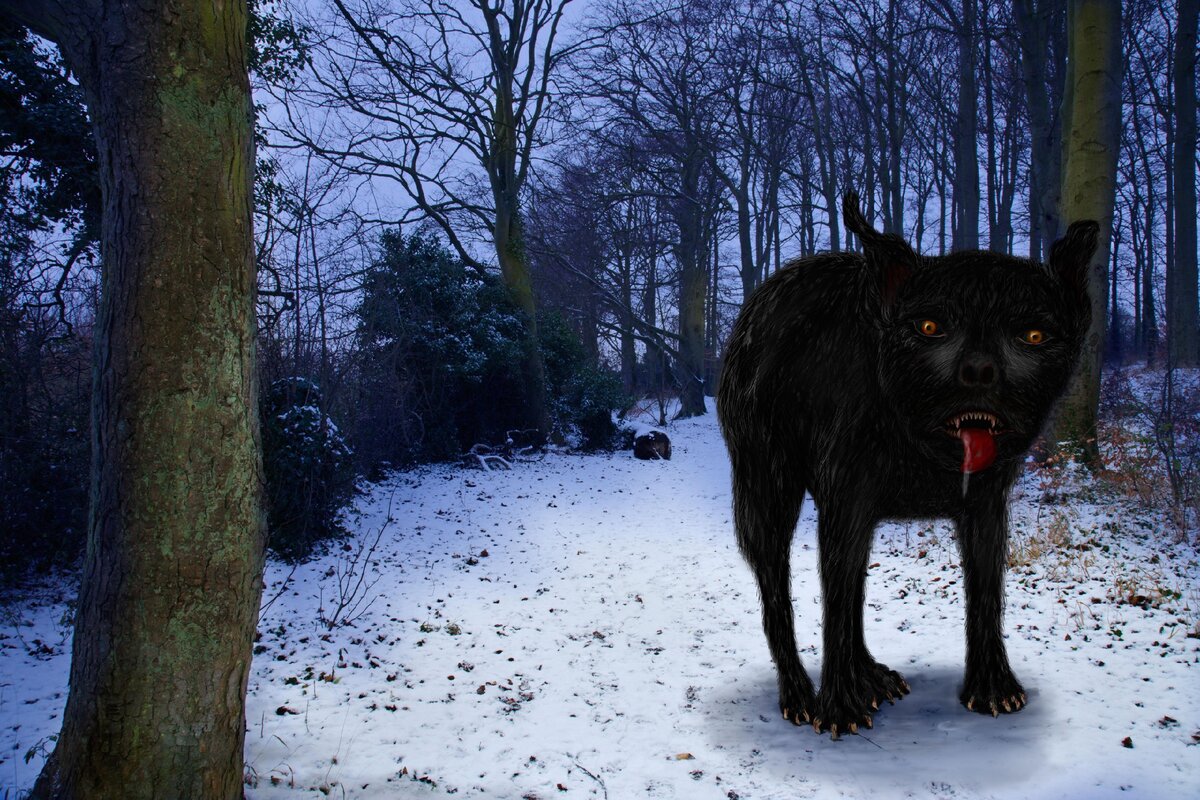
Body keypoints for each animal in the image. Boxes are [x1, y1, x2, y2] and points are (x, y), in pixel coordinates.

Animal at [715, 194, 1099, 738]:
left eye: (1033, 334)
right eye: (929, 328)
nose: (979, 371)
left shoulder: (985, 507)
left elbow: (985, 592)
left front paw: (992, 688)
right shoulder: (845, 503)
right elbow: (834, 603)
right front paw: (839, 708)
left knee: (852, 589)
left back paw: (869, 675)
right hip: (765, 495)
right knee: (778, 594)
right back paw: (800, 696)